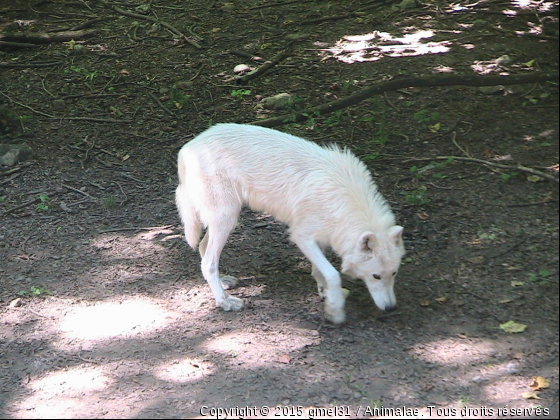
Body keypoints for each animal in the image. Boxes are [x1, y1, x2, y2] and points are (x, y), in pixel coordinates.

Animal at [175, 123, 402, 324]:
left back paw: (224, 282)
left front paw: (326, 293)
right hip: (227, 218)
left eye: (394, 273)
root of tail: (187, 148)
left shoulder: (323, 235)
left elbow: (320, 271)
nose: (391, 308)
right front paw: (335, 310)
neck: (344, 198)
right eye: (376, 276)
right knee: (208, 262)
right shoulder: (301, 236)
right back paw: (224, 301)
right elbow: (333, 273)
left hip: (225, 222)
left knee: (203, 247)